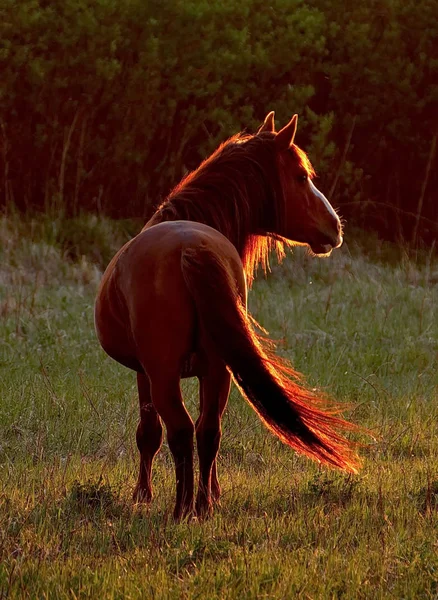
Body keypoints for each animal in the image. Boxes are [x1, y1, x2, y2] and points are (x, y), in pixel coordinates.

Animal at [95, 112, 360, 520]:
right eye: (301, 176)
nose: (335, 227)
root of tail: (189, 249)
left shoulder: (146, 373)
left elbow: (148, 434)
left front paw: (143, 495)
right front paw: (213, 493)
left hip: (166, 374)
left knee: (182, 430)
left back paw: (183, 509)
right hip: (217, 368)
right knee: (207, 431)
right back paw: (202, 506)